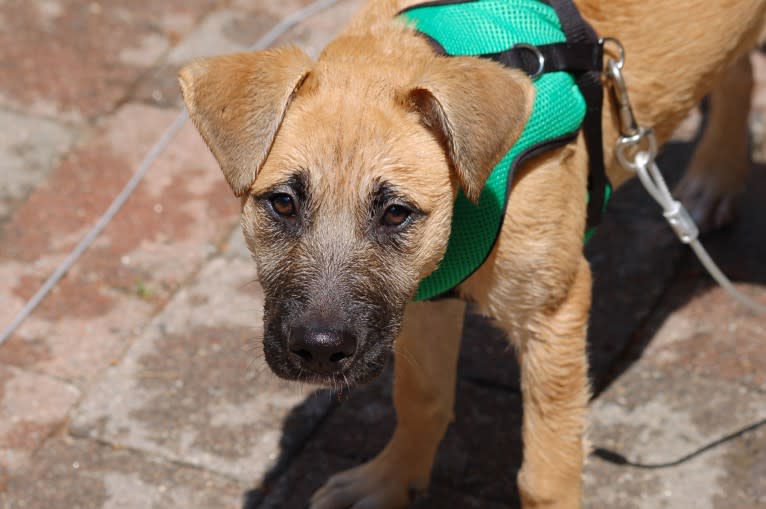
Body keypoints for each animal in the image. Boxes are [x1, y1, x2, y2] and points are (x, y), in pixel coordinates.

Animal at [178, 0, 766, 508]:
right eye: (282, 202)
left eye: (396, 213)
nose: (319, 352)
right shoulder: (424, 299)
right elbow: (422, 400)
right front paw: (389, 481)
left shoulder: (553, 315)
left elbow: (545, 473)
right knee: (737, 69)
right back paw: (715, 177)